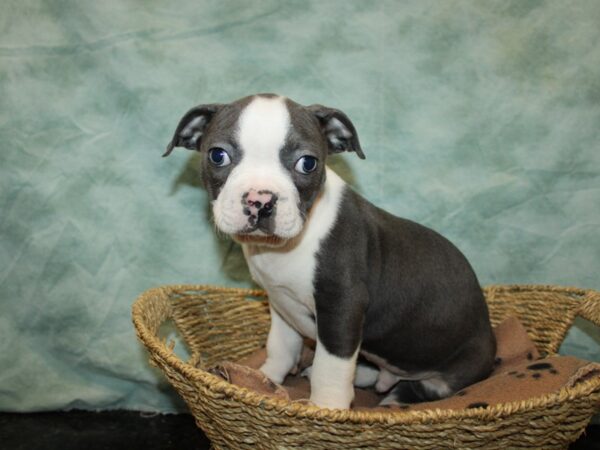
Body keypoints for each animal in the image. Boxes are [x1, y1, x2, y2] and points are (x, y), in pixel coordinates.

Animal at [165, 93, 496, 410]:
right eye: (217, 155)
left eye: (307, 163)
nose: (260, 200)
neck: (284, 247)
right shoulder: (280, 303)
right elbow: (281, 347)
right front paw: (263, 380)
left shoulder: (341, 307)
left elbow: (331, 365)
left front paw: (327, 407)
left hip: (459, 366)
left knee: (429, 386)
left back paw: (395, 396)